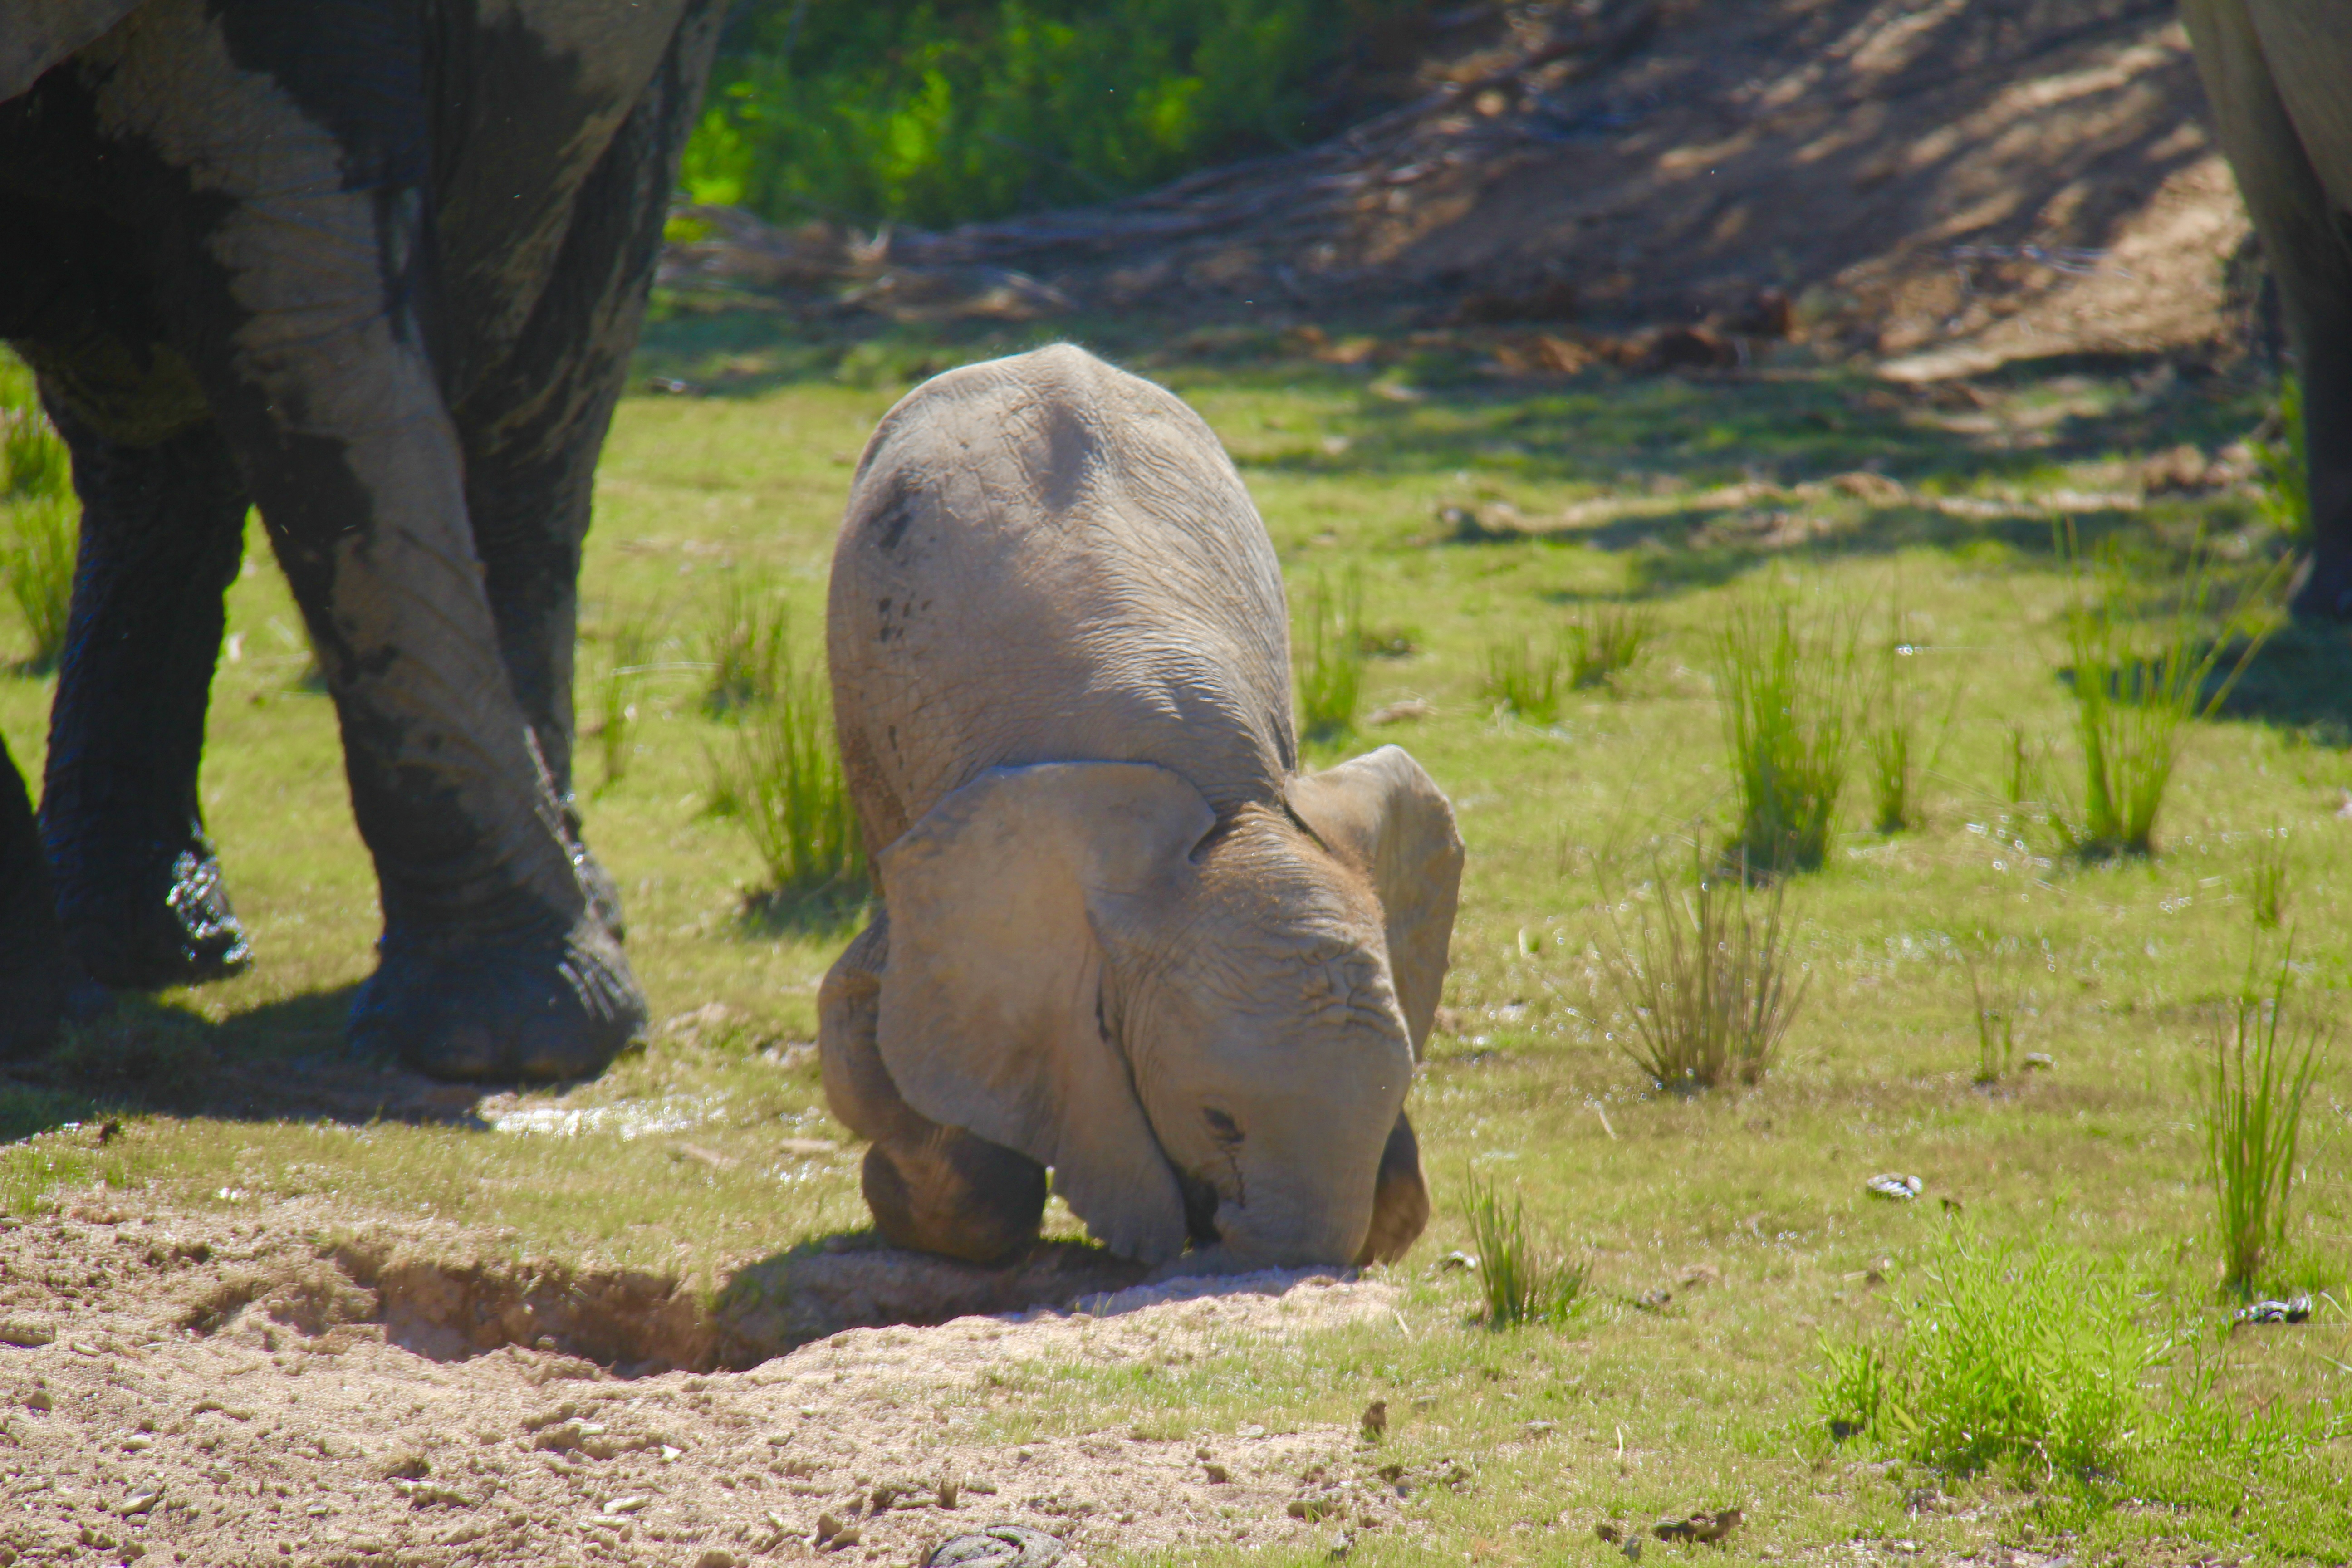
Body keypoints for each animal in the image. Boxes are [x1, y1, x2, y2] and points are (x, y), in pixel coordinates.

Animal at [819, 344, 1463, 1274]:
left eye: (1394, 1099)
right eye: (1217, 1121)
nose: (1216, 1240)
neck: (1230, 808)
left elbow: (1402, 1201)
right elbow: (860, 1026)